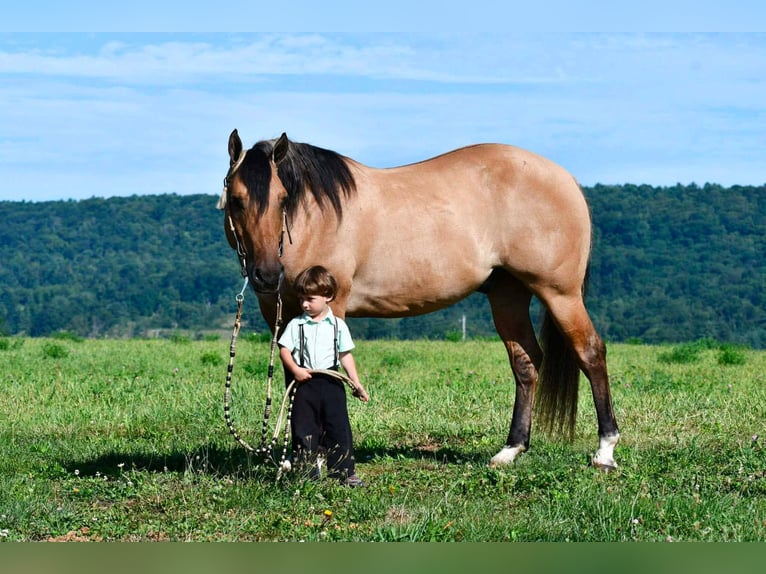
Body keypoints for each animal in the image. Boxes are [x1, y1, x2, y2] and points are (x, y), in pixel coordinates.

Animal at [217, 129, 620, 470]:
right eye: (235, 201)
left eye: (283, 198)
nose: (267, 274)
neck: (317, 218)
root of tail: (565, 179)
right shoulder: (282, 314)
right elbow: (296, 376)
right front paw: (295, 457)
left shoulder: (333, 306)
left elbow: (327, 372)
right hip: (508, 295)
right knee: (526, 363)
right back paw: (510, 449)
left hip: (560, 293)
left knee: (590, 352)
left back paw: (605, 451)